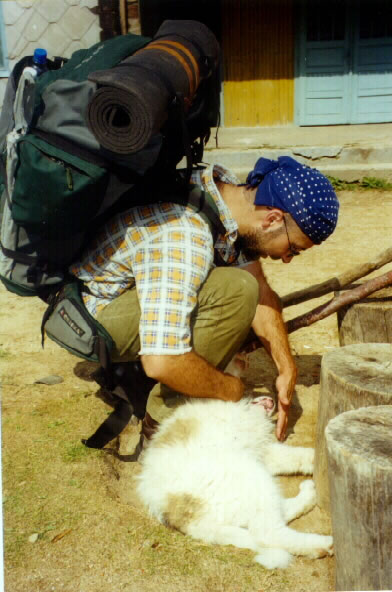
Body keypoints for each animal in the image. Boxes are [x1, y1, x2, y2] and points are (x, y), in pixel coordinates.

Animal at [136, 398, 332, 568]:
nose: (273, 400)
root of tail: (187, 520)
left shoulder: (263, 452)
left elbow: (296, 456)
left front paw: (316, 460)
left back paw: (310, 498)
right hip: (250, 475)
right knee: (267, 533)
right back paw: (325, 542)